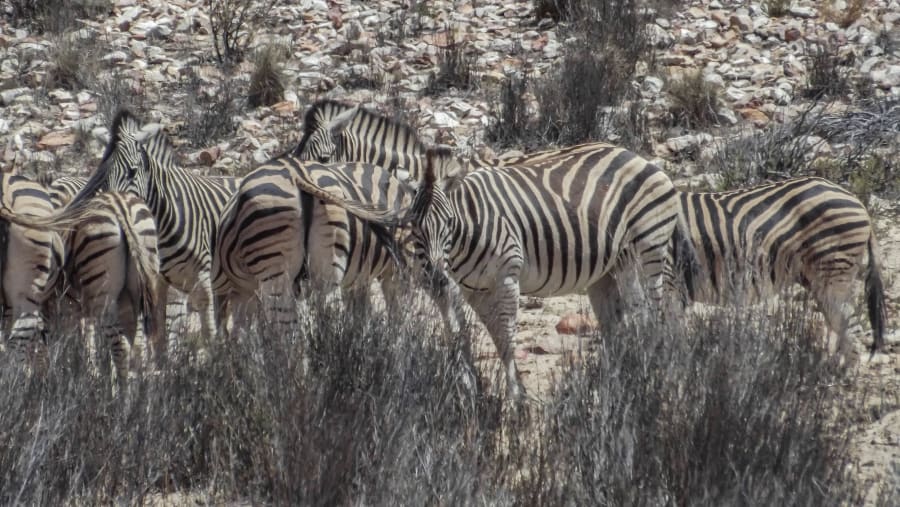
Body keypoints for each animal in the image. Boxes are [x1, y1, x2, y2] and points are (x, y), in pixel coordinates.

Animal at [51, 110, 240, 342]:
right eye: (103, 175)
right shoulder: (159, 282)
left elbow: (207, 331)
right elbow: (161, 335)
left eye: (132, 172)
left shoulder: (202, 277)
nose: (112, 203)